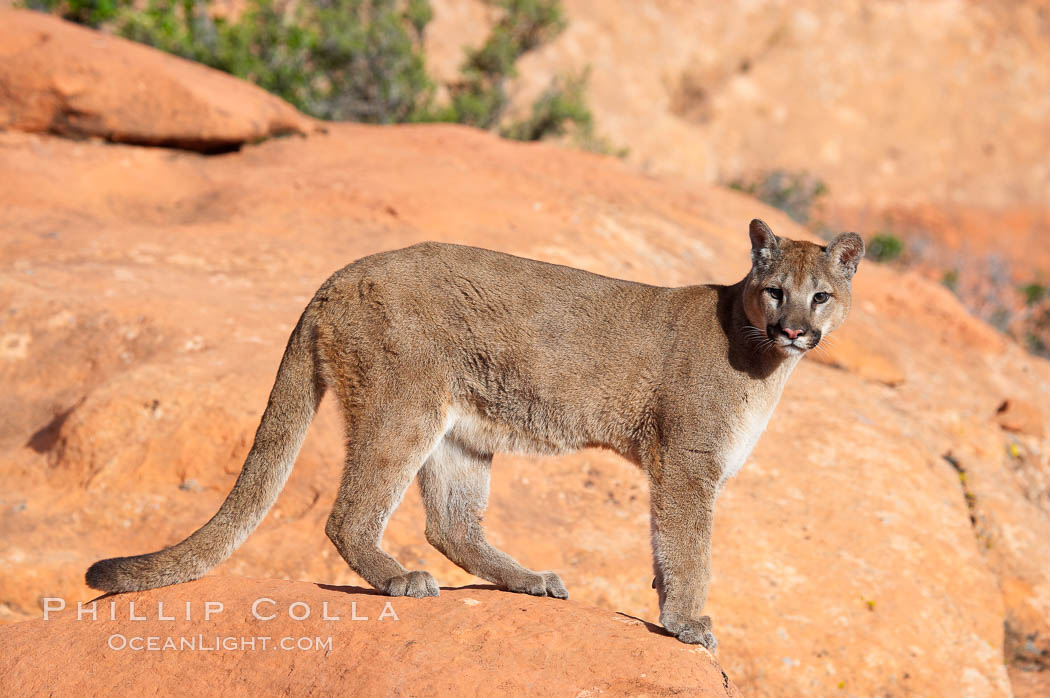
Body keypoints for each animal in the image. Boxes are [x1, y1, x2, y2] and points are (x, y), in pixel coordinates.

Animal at [88, 219, 860, 646]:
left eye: (821, 295)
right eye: (775, 291)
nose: (797, 328)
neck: (761, 358)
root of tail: (336, 276)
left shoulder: (683, 469)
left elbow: (669, 549)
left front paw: (673, 612)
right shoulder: (688, 464)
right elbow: (690, 550)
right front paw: (688, 623)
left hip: (463, 433)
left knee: (451, 526)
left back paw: (529, 580)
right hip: (406, 406)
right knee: (350, 515)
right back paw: (400, 581)